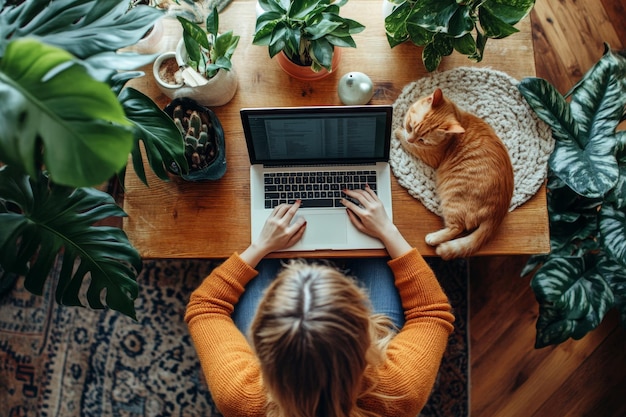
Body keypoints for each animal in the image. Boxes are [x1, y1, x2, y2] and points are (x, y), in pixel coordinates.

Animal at [394, 87, 512, 256]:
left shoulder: (430, 155)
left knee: (458, 227)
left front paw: (399, 132)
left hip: (453, 198)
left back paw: (433, 238)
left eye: (423, 140)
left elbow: (408, 143)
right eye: (411, 126)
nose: (411, 138)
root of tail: (498, 212)